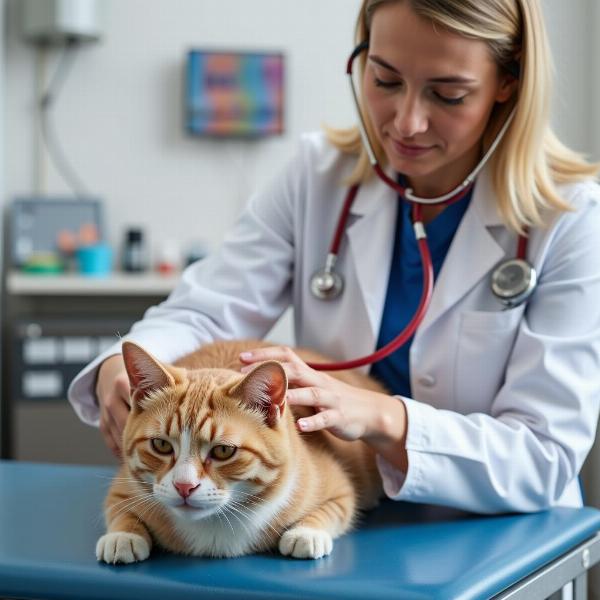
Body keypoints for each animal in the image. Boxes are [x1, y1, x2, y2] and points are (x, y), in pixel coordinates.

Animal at [95, 342, 384, 564]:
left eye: (223, 450)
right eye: (162, 445)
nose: (184, 487)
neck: (214, 525)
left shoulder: (341, 489)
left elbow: (335, 510)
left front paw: (306, 533)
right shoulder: (122, 486)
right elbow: (119, 509)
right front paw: (123, 536)